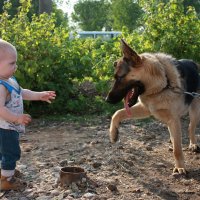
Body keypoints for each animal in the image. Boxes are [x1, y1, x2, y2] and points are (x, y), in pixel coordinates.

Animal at [105, 38, 199, 173]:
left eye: (119, 77)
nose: (107, 100)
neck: (162, 85)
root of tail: (192, 62)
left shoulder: (172, 118)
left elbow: (177, 149)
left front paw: (180, 167)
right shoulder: (146, 109)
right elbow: (118, 113)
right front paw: (113, 133)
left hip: (195, 111)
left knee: (191, 127)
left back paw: (193, 144)